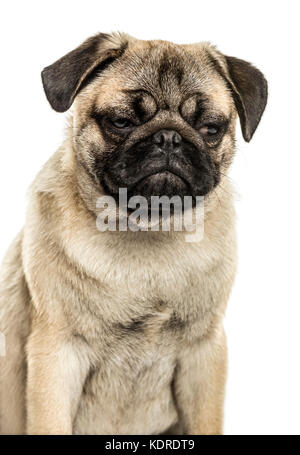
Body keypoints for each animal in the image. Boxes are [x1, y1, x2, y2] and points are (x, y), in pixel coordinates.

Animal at [0, 33, 268, 434]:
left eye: (211, 129)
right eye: (121, 121)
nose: (169, 138)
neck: (148, 230)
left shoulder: (204, 354)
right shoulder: (56, 355)